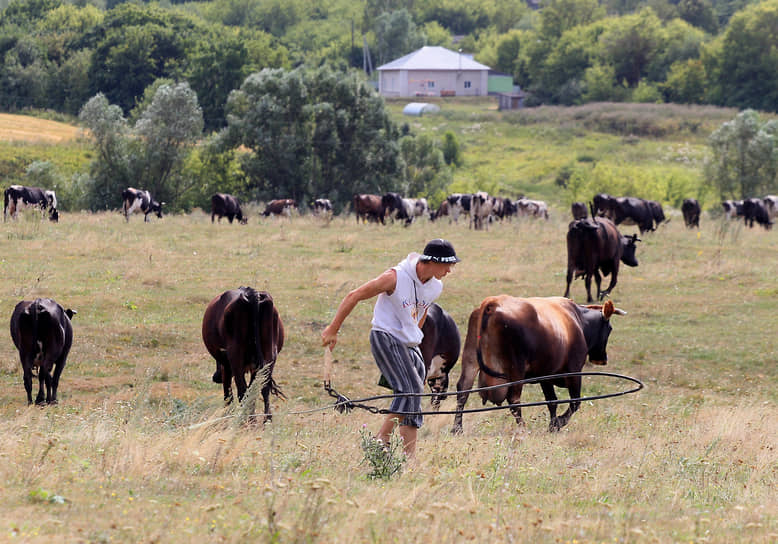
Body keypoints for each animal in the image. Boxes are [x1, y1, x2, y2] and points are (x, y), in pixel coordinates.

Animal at [202, 286, 284, 422]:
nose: (215, 377)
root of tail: (251, 293)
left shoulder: (226, 366)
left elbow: (228, 395)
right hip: (269, 356)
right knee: (262, 388)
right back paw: (265, 421)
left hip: (235, 358)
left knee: (242, 390)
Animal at [448, 298, 624, 434]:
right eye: (609, 328)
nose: (603, 359)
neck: (577, 320)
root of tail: (493, 302)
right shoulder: (574, 372)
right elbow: (575, 402)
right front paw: (558, 422)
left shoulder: (545, 375)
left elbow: (552, 402)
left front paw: (553, 425)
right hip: (516, 369)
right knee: (514, 400)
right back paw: (523, 428)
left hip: (470, 360)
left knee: (463, 391)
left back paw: (457, 429)